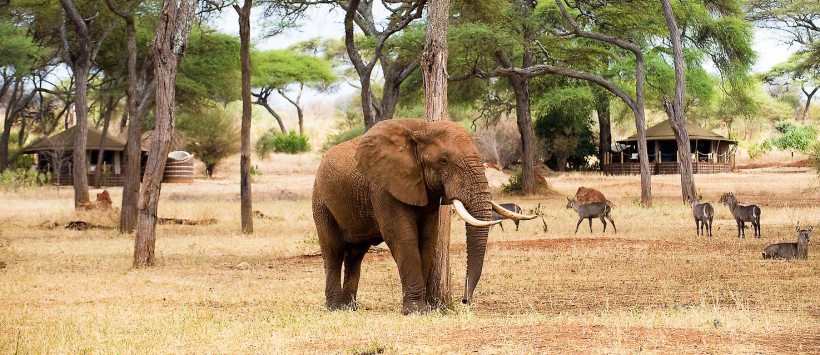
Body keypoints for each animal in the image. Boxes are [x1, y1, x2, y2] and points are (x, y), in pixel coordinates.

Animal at [310, 119, 536, 314]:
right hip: (320, 201)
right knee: (333, 251)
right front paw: (416, 311)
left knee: (355, 254)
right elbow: (403, 237)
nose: (465, 301)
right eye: (443, 161)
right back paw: (335, 308)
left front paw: (425, 308)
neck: (421, 127)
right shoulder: (383, 187)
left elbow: (427, 238)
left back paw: (350, 308)